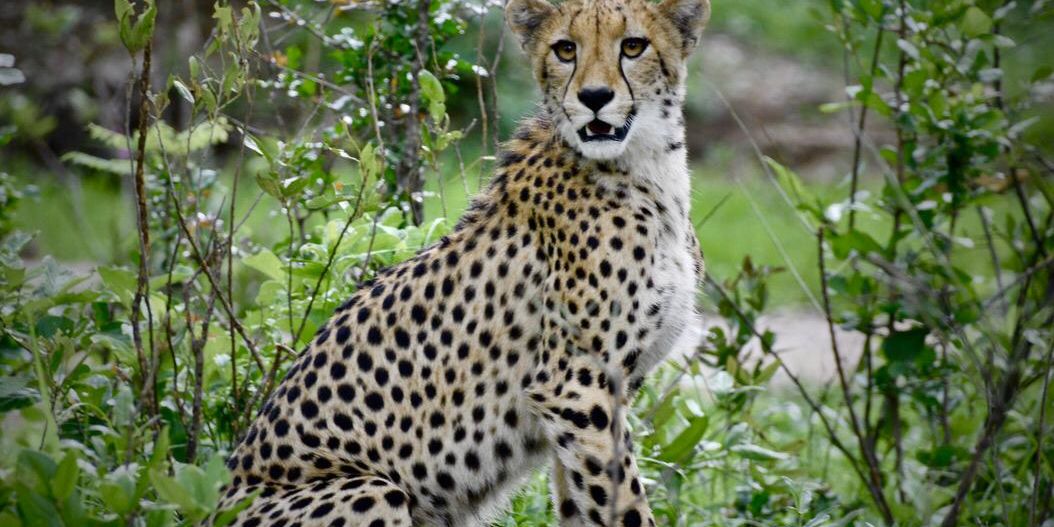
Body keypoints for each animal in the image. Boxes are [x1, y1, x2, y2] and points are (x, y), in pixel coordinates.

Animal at [213, 0, 710, 525]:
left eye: (633, 46)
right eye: (565, 49)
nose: (594, 97)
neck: (646, 165)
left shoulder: (579, 407)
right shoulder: (577, 386)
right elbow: (625, 503)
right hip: (374, 489)